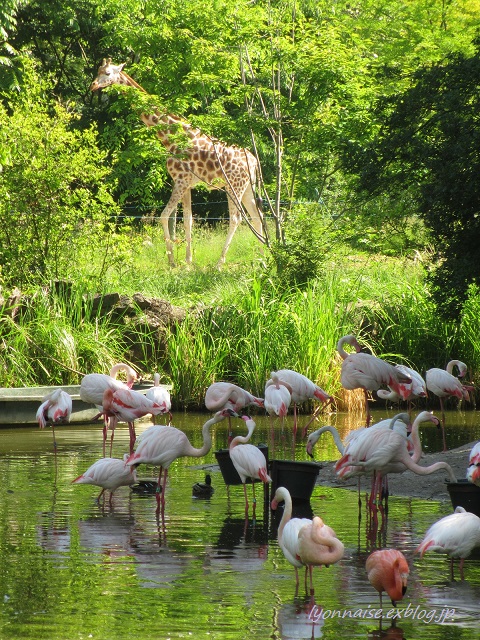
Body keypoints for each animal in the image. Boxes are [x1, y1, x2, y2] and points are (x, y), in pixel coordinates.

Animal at [89, 58, 262, 266]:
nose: (93, 85)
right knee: (257, 216)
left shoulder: (180, 180)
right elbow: (188, 220)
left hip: (233, 186)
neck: (170, 137)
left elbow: (164, 216)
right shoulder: (186, 184)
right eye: (98, 71)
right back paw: (264, 255)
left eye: (107, 73)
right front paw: (188, 261)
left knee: (236, 219)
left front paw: (172, 261)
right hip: (247, 187)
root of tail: (254, 161)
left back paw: (220, 263)